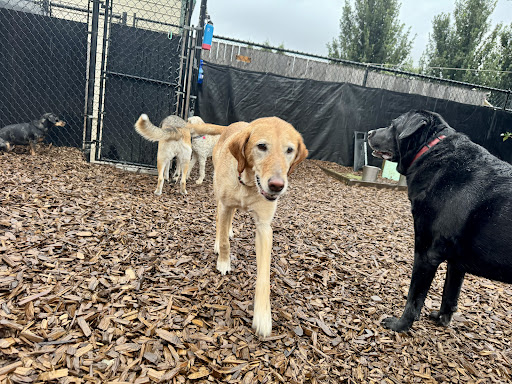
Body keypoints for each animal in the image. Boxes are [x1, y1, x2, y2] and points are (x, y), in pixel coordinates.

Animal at [190, 117, 306, 336]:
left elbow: (264, 276)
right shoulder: (225, 205)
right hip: (219, 197)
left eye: (289, 150)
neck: (250, 183)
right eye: (261, 146)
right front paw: (224, 262)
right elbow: (224, 241)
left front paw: (263, 315)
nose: (277, 186)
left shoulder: (264, 228)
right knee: (219, 221)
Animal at [368, 109, 512, 332]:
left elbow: (414, 297)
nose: (368, 133)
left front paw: (400, 325)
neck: (430, 150)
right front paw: (442, 319)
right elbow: (450, 294)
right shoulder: (457, 264)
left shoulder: (425, 254)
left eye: (393, 124)